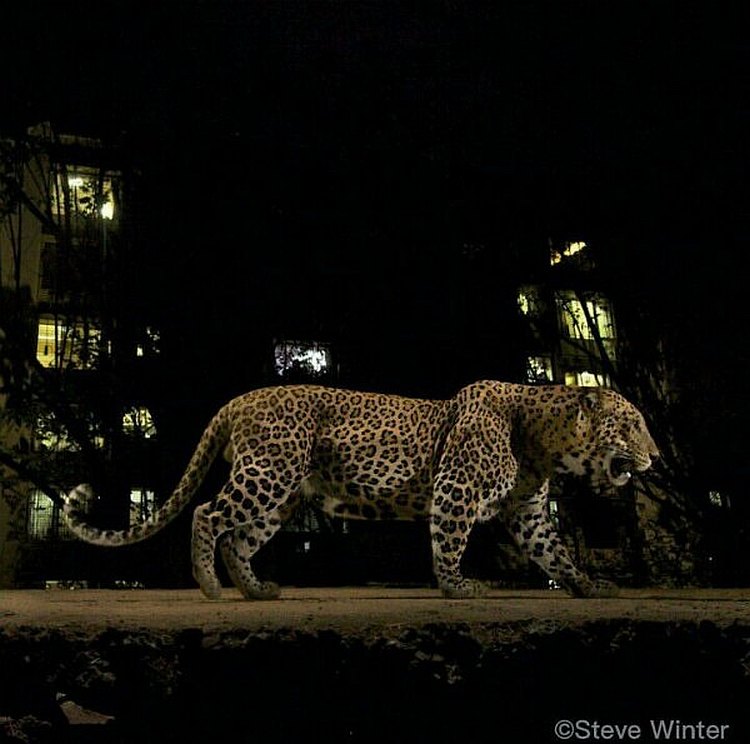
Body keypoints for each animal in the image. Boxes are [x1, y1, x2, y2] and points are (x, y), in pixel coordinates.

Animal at [67, 380, 660, 600]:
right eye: (631, 425)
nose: (655, 457)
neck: (545, 442)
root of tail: (237, 400)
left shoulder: (531, 512)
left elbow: (554, 551)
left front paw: (588, 584)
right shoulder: (456, 490)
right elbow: (449, 542)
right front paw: (457, 587)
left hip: (281, 495)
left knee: (239, 538)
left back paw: (257, 590)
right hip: (267, 475)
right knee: (208, 515)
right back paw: (211, 586)